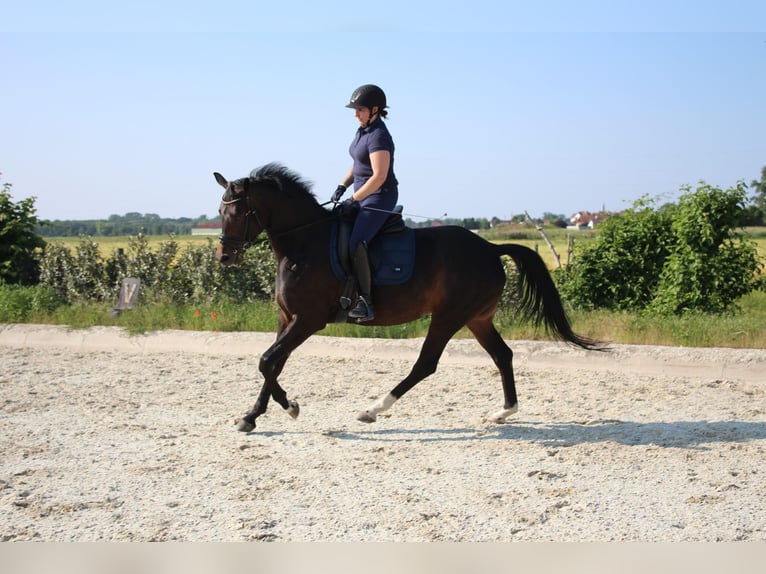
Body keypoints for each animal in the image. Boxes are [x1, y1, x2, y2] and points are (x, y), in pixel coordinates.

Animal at [214, 163, 599, 432]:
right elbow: (273, 363)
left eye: (239, 211)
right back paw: (504, 412)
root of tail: (490, 248)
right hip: (477, 318)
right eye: (220, 212)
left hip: (448, 316)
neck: (304, 244)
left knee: (425, 364)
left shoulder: (309, 320)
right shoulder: (287, 318)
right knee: (502, 355)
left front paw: (287, 407)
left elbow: (267, 360)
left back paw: (373, 409)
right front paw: (254, 415)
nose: (225, 257)